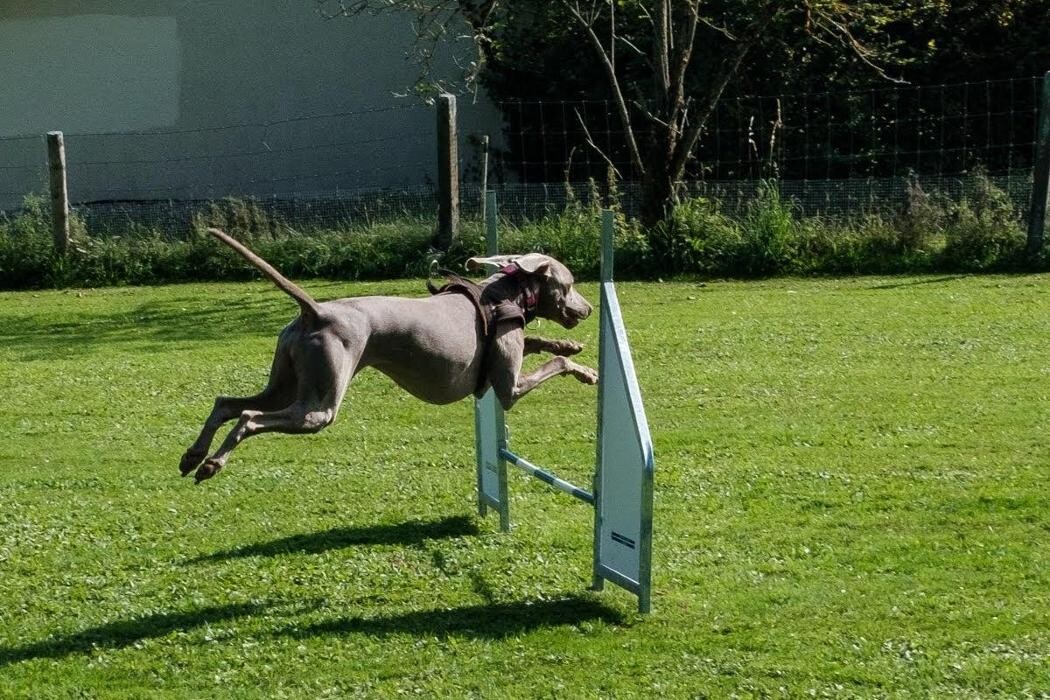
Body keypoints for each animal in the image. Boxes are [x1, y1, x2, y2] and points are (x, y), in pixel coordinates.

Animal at [176, 227, 596, 484]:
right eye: (571, 283)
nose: (590, 309)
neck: (504, 295)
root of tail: (317, 311)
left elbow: (540, 342)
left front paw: (571, 347)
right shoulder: (508, 388)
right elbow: (551, 365)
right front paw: (585, 370)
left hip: (287, 380)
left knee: (226, 403)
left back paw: (194, 455)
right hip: (319, 404)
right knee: (250, 416)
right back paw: (212, 463)